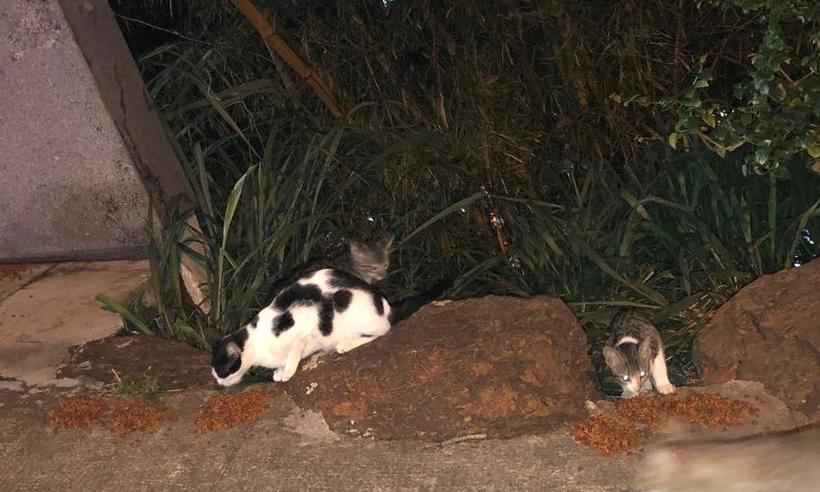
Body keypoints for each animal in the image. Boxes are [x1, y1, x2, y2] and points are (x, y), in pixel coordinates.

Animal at [208, 236, 446, 386]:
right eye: (215, 371)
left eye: (221, 370)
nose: (217, 382)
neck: (256, 343)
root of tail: (386, 306)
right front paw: (280, 371)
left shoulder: (304, 322)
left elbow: (295, 351)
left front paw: (287, 372)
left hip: (348, 305)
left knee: (383, 331)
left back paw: (344, 345)